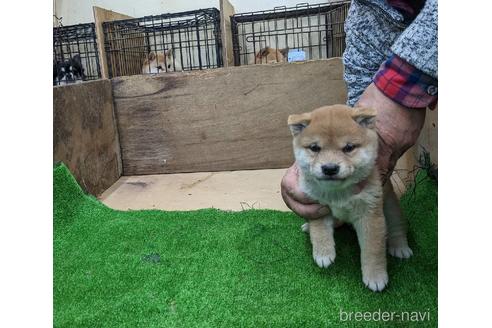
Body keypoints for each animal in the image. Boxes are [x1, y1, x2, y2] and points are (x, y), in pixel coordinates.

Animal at [288, 105, 412, 292]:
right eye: (315, 148)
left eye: (349, 147)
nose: (329, 168)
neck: (339, 193)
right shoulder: (316, 205)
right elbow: (319, 230)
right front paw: (323, 252)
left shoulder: (370, 215)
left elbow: (373, 250)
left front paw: (375, 276)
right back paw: (308, 227)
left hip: (390, 206)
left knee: (397, 227)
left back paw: (400, 247)